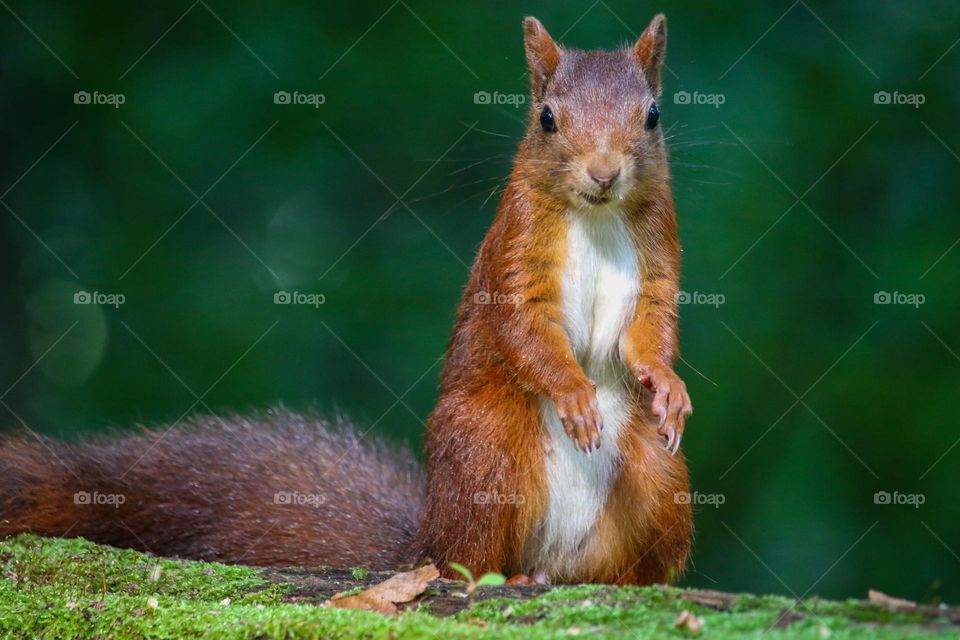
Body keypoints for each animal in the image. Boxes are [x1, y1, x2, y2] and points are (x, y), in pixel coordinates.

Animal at [0, 15, 688, 588]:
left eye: (653, 114)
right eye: (546, 118)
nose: (604, 173)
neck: (595, 217)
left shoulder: (659, 249)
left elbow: (652, 327)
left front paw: (669, 384)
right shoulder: (516, 249)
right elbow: (522, 325)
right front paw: (573, 392)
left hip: (657, 477)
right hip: (486, 452)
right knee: (464, 562)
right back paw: (498, 573)